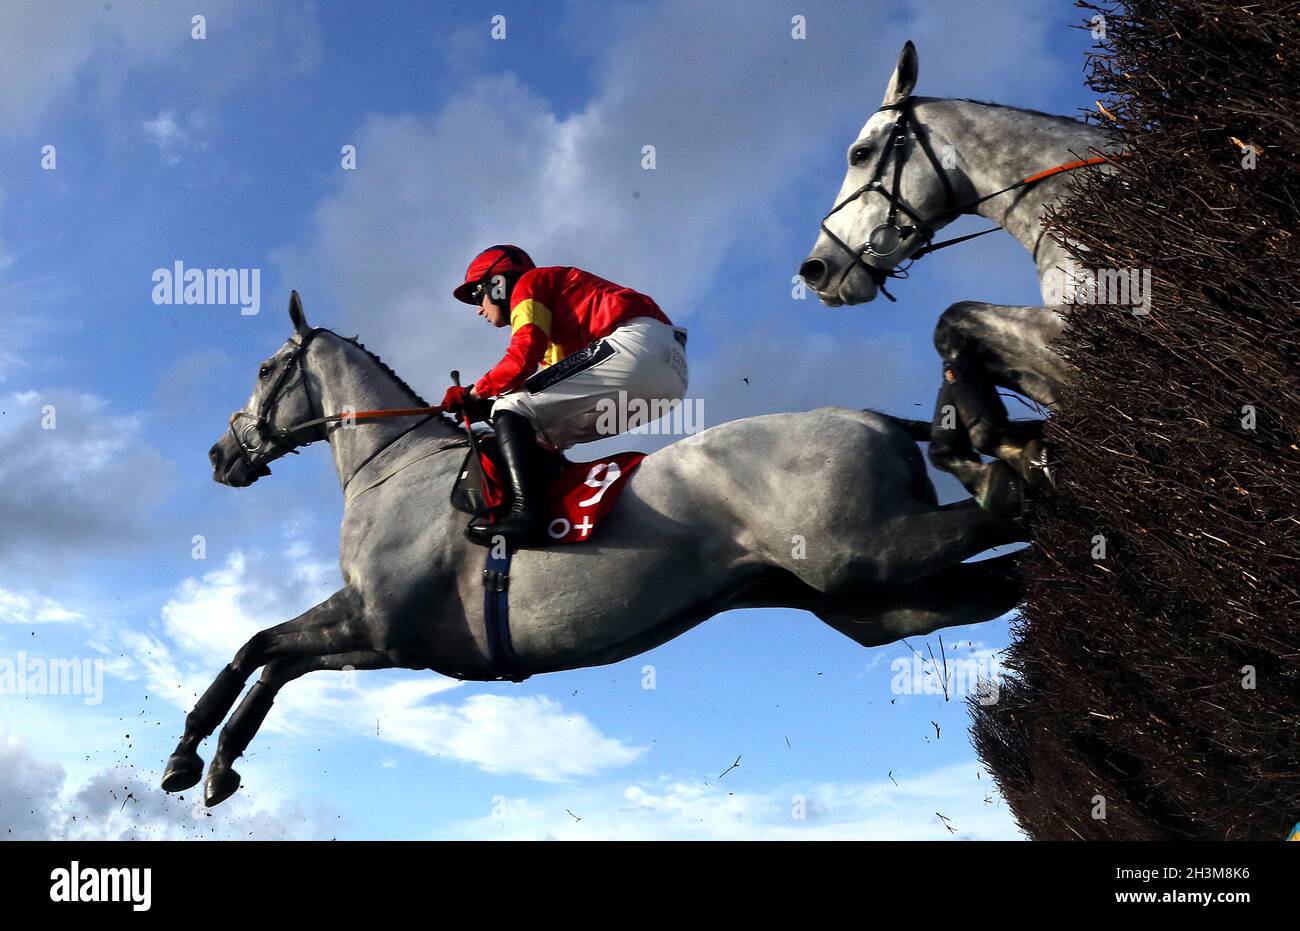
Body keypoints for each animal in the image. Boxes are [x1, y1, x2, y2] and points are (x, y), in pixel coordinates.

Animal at [159, 292, 1024, 806]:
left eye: (266, 367)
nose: (220, 453)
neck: (393, 464)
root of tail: (876, 417)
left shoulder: (377, 621)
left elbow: (256, 647)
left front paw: (189, 754)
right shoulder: (386, 637)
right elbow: (274, 663)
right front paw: (219, 762)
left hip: (862, 550)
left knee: (1008, 506)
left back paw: (1026, 475)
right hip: (867, 600)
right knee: (989, 581)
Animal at [800, 41, 1118, 509]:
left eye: (860, 154)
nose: (815, 269)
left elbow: (954, 317)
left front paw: (1005, 449)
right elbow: (957, 342)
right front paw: (1006, 454)